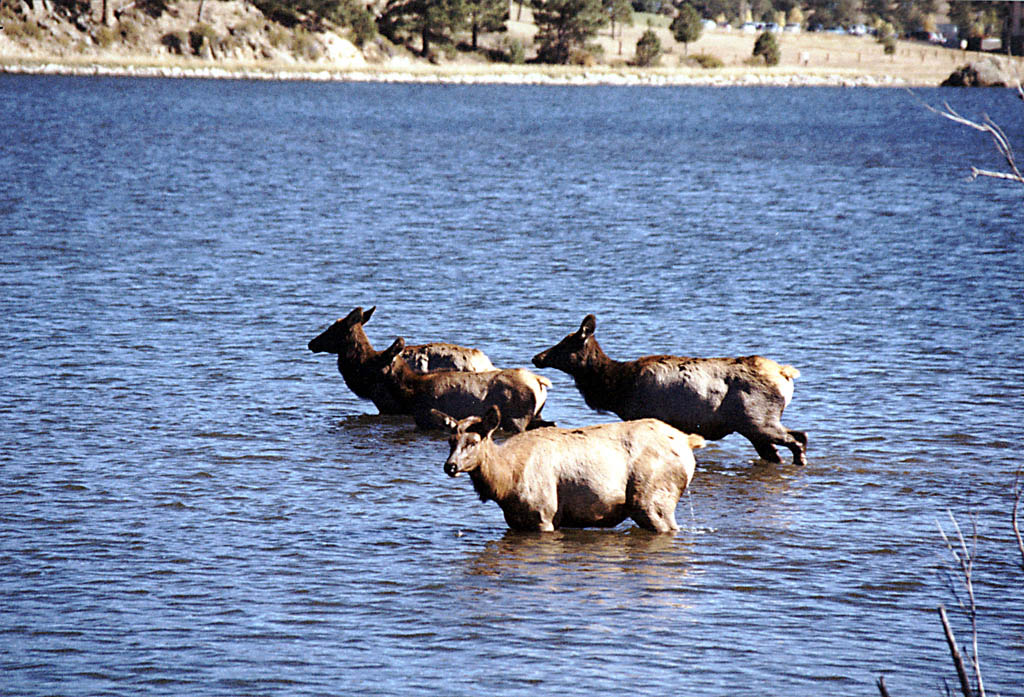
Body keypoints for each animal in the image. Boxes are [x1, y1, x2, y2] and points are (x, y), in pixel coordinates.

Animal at [436, 403, 708, 532]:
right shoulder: (516, 522)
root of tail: (688, 441)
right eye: (450, 440)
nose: (450, 466)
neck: (505, 484)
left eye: (473, 441)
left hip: (651, 499)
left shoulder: (543, 515)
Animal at [528, 313, 806, 464]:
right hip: (753, 426)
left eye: (565, 344)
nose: (537, 357)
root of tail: (786, 374)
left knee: (798, 439)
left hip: (758, 420)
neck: (616, 387)